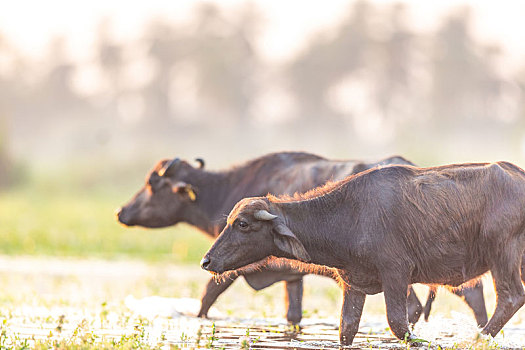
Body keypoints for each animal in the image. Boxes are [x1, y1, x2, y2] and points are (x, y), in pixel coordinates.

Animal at [203, 163, 524, 346]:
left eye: (243, 224)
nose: (207, 261)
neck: (349, 216)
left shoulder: (397, 273)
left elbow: (399, 324)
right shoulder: (353, 284)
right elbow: (346, 328)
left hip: (502, 252)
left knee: (510, 297)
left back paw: (478, 339)